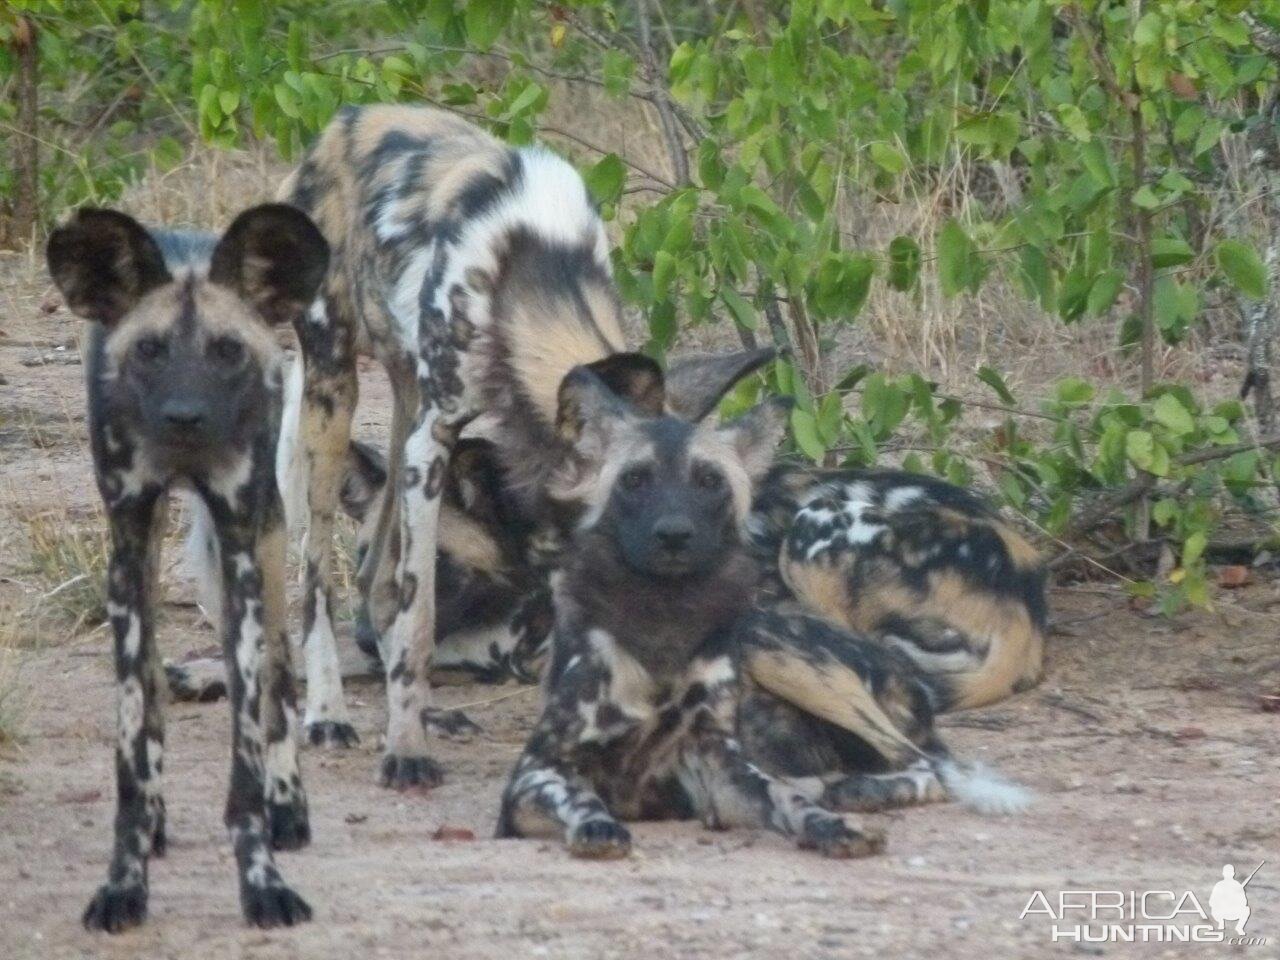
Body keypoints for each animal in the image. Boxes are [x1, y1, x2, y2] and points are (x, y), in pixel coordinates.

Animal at [48, 204, 330, 931]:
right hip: (144, 561)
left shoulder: (241, 548)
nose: (184, 418)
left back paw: (290, 803)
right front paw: (125, 882)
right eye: (150, 351)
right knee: (151, 684)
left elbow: (249, 750)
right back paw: (157, 819)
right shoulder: (128, 541)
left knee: (281, 676)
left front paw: (263, 882)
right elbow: (132, 743)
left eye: (227, 351)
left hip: (270, 541)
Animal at [277, 101, 768, 783]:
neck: (532, 282)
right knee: (319, 569)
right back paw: (329, 713)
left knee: (377, 578)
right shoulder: (433, 446)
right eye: (631, 490)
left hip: (402, 404)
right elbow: (420, 621)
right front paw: (405, 749)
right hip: (335, 395)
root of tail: (340, 123)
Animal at [499, 368, 1029, 865]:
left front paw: (829, 825)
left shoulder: (717, 768)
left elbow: (786, 800)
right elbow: (581, 799)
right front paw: (596, 825)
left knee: (929, 765)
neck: (664, 619)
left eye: (709, 481)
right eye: (633, 480)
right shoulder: (534, 776)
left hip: (782, 614)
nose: (673, 534)